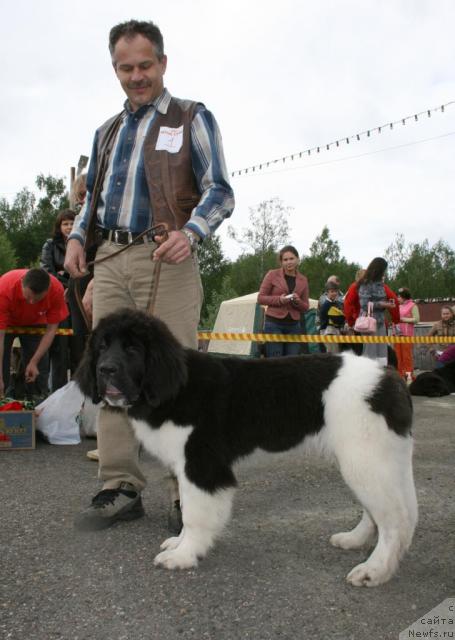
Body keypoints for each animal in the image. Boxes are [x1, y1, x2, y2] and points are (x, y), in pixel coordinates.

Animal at [76, 308, 418, 588]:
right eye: (102, 347)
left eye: (133, 349)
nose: (105, 370)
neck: (175, 387)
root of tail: (390, 378)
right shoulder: (187, 468)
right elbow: (186, 508)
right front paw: (179, 544)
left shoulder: (202, 465)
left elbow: (195, 514)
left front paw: (184, 555)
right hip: (375, 460)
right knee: (386, 512)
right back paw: (354, 540)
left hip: (364, 459)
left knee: (395, 520)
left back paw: (374, 570)